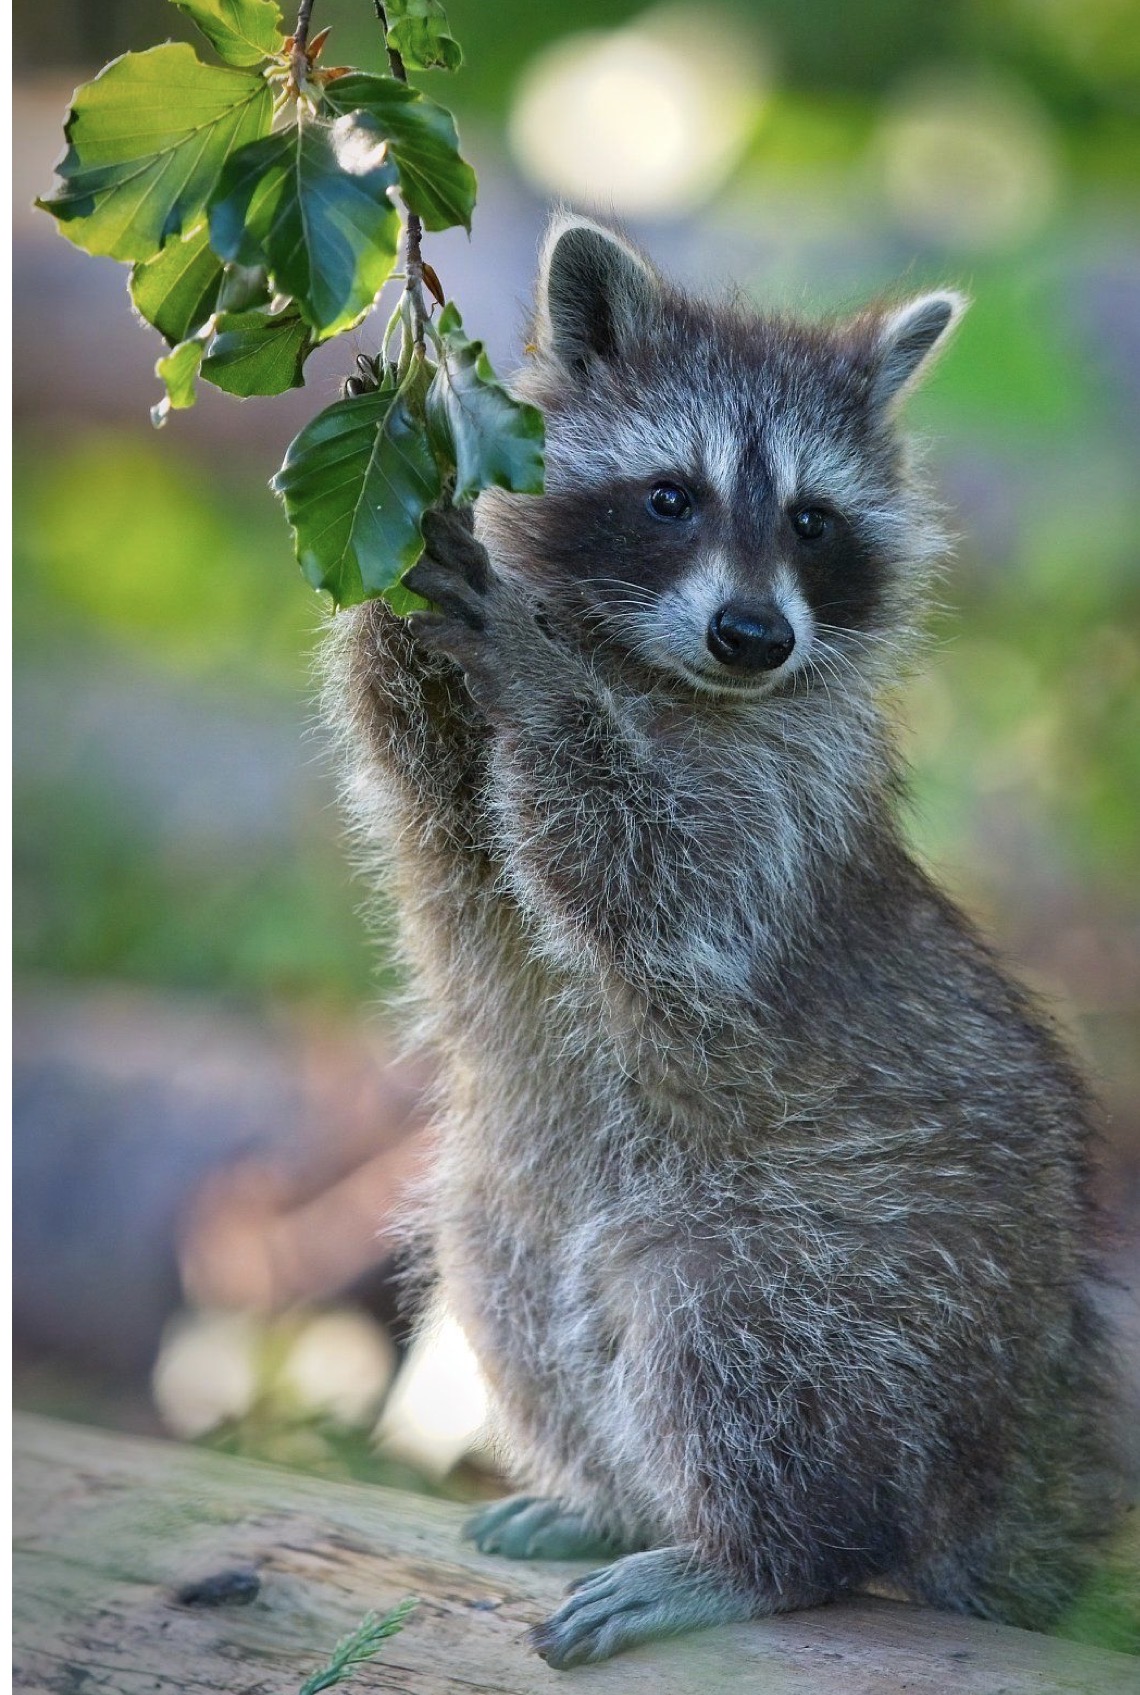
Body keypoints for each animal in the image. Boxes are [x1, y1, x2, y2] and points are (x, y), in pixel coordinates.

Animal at [324, 216, 1118, 1667]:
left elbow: (672, 894)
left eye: (812, 520)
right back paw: (615, 1492)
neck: (666, 673)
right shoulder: (460, 811)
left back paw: (759, 1551)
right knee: (514, 1291)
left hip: (855, 1254)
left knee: (731, 1343)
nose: (755, 634)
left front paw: (538, 678)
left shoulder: (790, 801)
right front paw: (406, 499)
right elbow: (420, 771)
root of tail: (1007, 1409)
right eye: (671, 498)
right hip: (525, 1199)